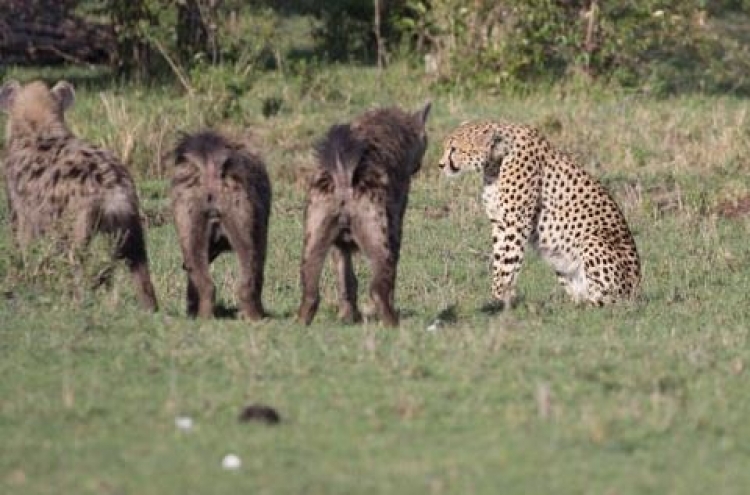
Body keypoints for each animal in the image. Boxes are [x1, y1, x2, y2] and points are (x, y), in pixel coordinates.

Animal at [0, 79, 159, 312]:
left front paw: (25, 280)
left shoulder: (22, 206)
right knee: (140, 264)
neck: (38, 128)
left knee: (77, 260)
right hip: (132, 220)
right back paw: (150, 308)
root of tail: (113, 188)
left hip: (81, 220)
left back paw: (77, 301)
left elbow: (23, 243)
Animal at [296, 104, 432, 326]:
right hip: (376, 233)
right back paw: (393, 323)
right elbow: (392, 268)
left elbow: (346, 277)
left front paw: (348, 316)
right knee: (377, 288)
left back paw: (301, 322)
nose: (418, 165)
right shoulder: (395, 222)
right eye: (425, 140)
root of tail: (343, 176)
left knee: (309, 290)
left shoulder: (338, 243)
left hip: (313, 235)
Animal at [440, 120, 640, 306]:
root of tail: (636, 291)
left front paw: (498, 298)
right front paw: (500, 297)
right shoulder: (499, 222)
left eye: (454, 149)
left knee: (607, 301)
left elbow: (508, 261)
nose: (441, 165)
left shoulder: (516, 222)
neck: (496, 160)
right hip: (560, 260)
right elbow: (499, 260)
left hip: (592, 241)